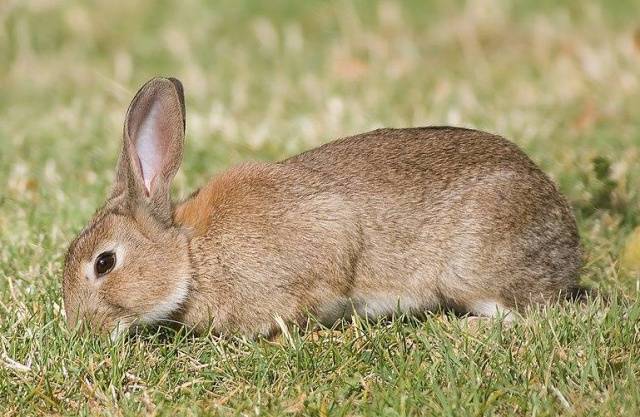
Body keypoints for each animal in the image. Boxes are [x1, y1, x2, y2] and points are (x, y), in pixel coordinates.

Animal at [62, 78, 584, 338]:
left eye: (104, 263)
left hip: (471, 269)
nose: (82, 331)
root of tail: (568, 241)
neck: (191, 257)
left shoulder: (325, 238)